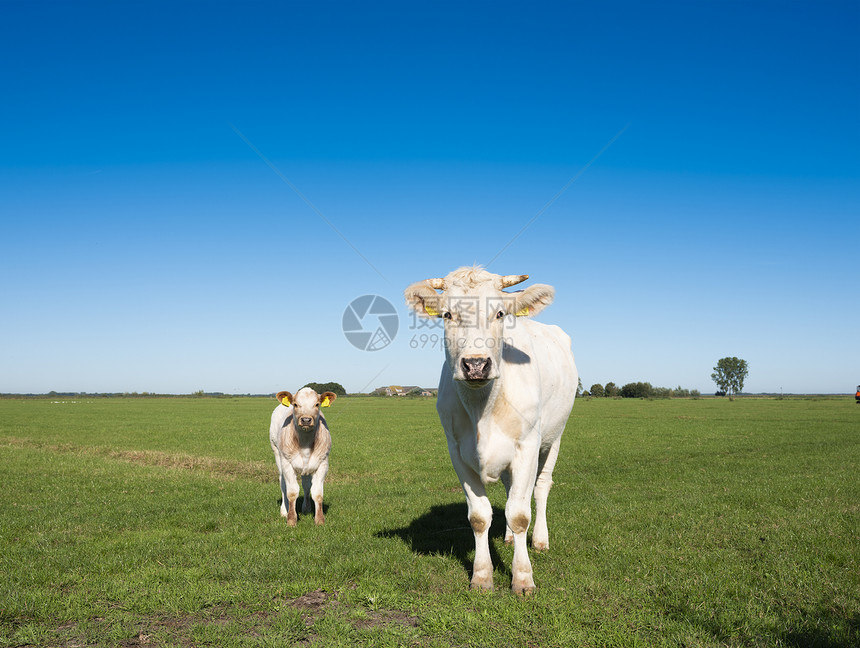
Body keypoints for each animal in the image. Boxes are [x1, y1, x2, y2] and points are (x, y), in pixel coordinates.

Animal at [268, 388, 336, 524]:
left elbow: (317, 493)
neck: (304, 443)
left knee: (306, 484)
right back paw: (284, 510)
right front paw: (291, 519)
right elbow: (292, 492)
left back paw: (306, 508)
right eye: (295, 404)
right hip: (277, 453)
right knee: (282, 483)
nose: (306, 420)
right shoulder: (287, 463)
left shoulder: (322, 464)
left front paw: (319, 520)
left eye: (317, 404)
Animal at [404, 266, 576, 596]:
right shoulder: (457, 452)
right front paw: (482, 576)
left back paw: (540, 540)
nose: (475, 365)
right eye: (447, 314)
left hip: (555, 437)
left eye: (499, 314)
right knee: (511, 492)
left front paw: (523, 578)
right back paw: (508, 538)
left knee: (540, 488)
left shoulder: (527, 446)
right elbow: (480, 517)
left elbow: (520, 514)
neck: (482, 408)